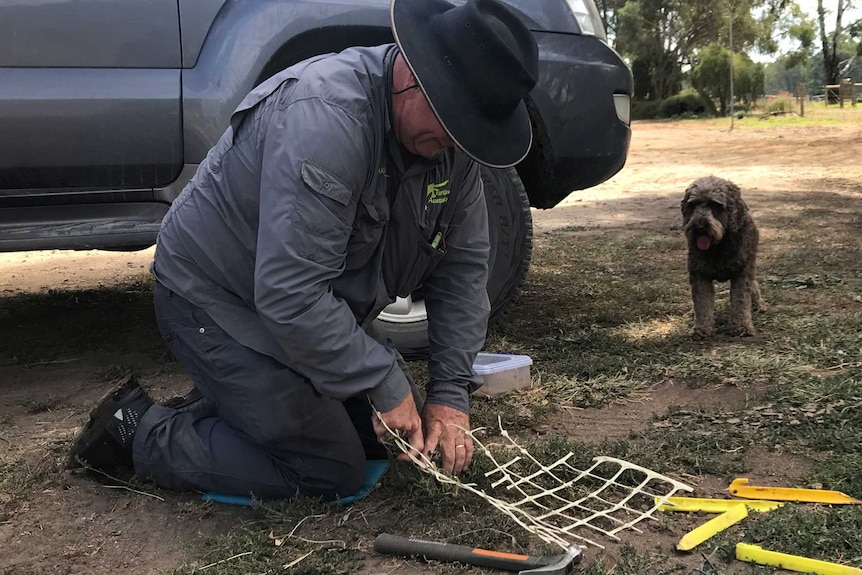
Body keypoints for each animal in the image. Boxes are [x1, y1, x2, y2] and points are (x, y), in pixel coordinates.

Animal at [684, 177, 768, 338]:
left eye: (715, 205)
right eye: (692, 205)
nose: (699, 227)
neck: (718, 245)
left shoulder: (742, 273)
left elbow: (741, 300)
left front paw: (742, 327)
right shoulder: (699, 275)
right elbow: (702, 303)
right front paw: (702, 328)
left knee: (754, 284)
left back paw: (759, 304)